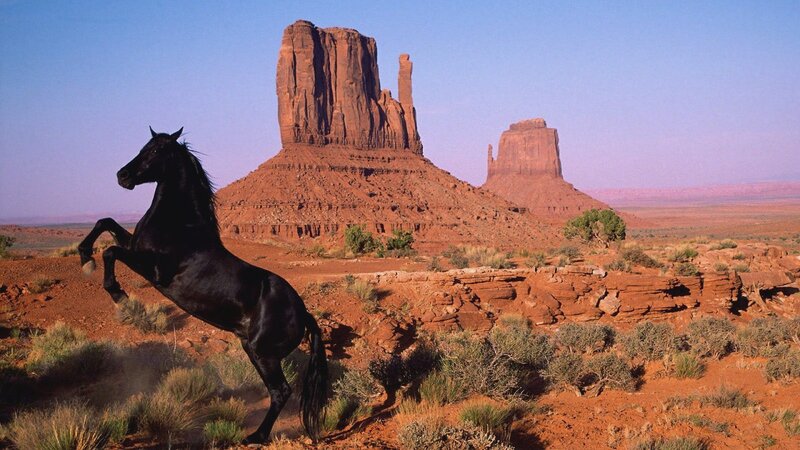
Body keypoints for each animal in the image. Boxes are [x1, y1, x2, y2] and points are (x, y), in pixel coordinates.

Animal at [77, 127, 327, 444]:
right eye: (144, 145)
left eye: (157, 150)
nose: (122, 176)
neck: (179, 226)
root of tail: (303, 313)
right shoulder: (135, 246)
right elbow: (105, 222)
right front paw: (84, 255)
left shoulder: (155, 271)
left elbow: (110, 252)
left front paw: (116, 292)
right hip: (252, 349)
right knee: (277, 391)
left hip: (264, 353)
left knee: (281, 391)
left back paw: (255, 437)